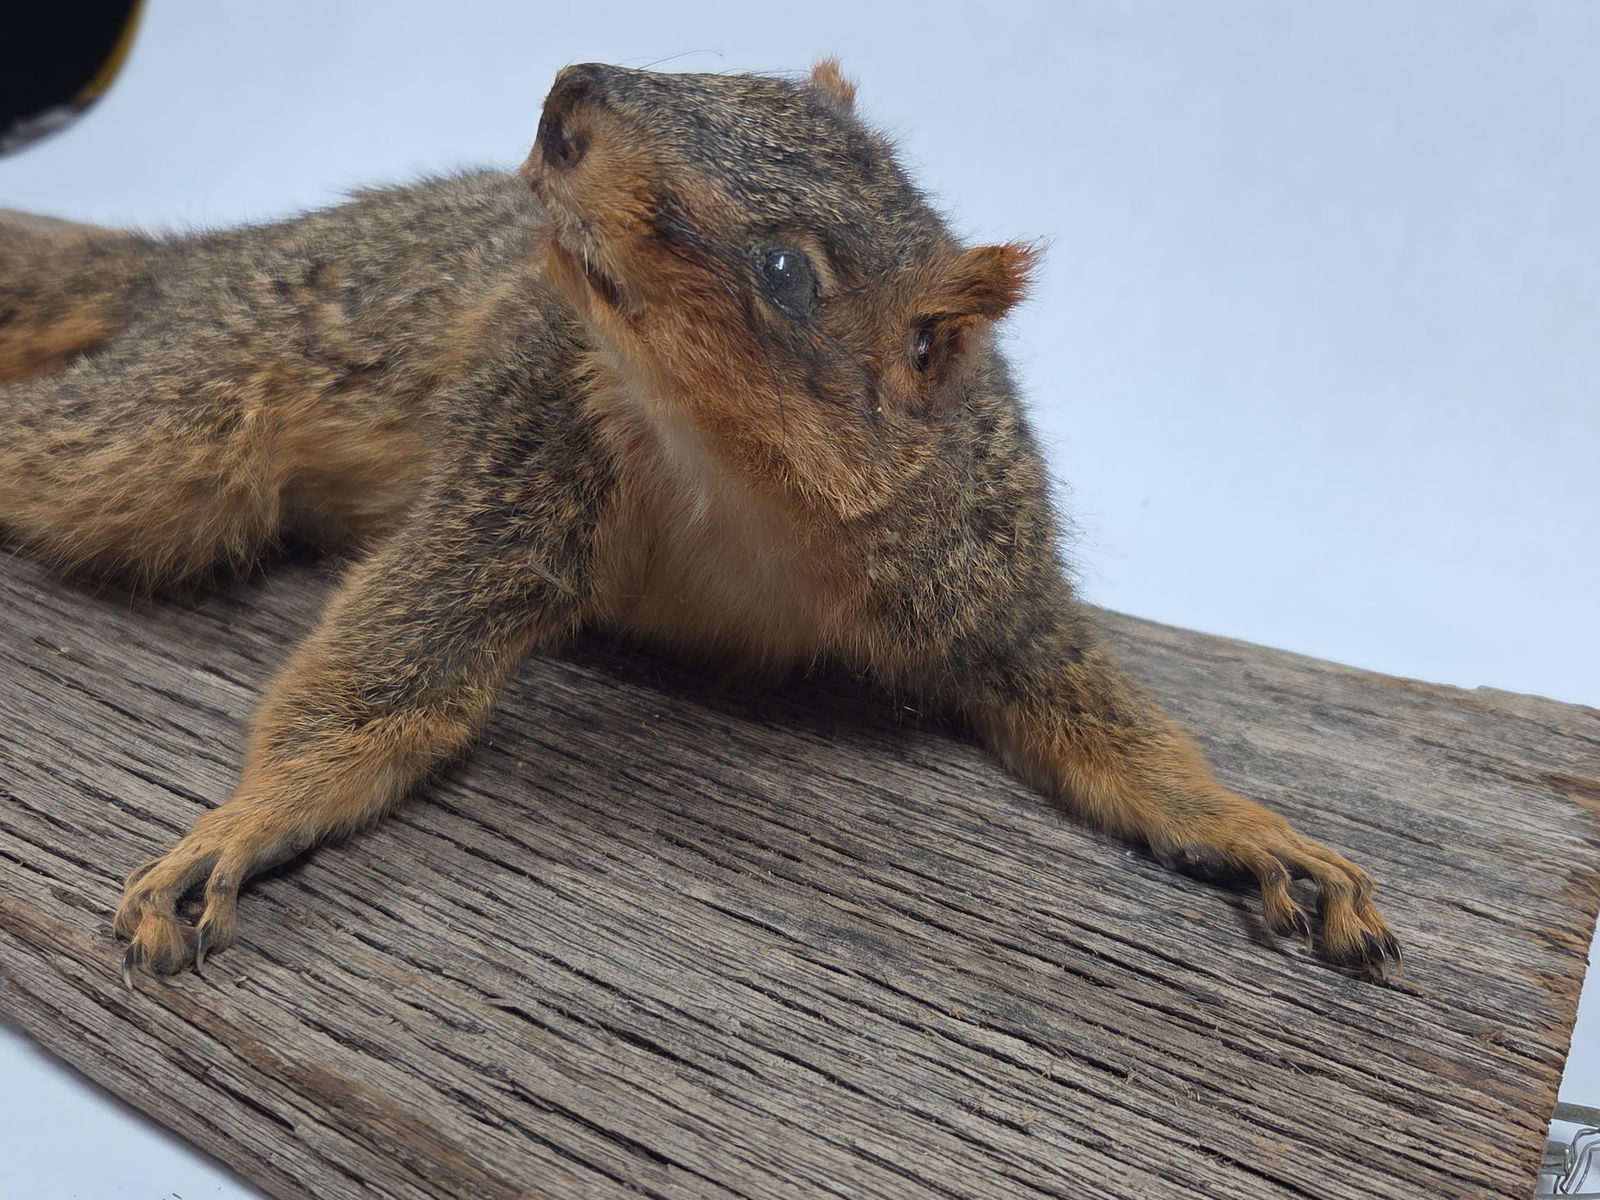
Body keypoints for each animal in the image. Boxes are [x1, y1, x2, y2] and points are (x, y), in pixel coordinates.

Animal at [0, 60, 1399, 982]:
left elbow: (1092, 716)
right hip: (182, 426)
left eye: (784, 272)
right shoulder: (524, 443)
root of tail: (215, 259)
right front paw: (242, 826)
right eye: (744, 74)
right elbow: (401, 662)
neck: (746, 487)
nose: (568, 99)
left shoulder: (976, 567)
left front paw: (1242, 828)